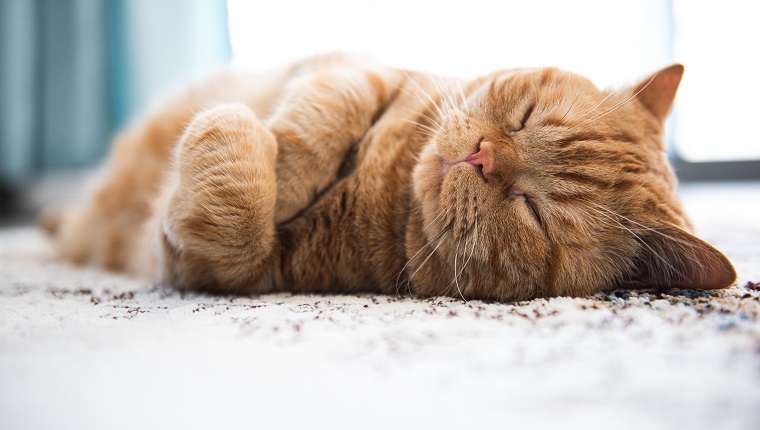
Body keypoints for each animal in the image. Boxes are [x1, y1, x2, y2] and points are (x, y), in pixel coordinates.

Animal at [40, 52, 736, 300]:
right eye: (524, 117)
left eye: (532, 209)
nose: (481, 156)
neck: (389, 184)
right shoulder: (355, 71)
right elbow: (324, 113)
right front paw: (282, 162)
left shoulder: (213, 269)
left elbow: (237, 222)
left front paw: (237, 139)